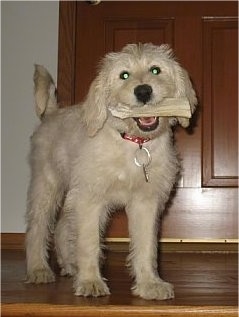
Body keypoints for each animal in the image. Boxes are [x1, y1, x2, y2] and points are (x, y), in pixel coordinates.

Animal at [25, 42, 198, 298]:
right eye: (123, 75)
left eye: (155, 70)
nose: (143, 91)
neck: (134, 144)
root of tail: (52, 113)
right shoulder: (90, 199)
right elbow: (89, 243)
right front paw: (90, 282)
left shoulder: (145, 202)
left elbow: (146, 246)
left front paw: (150, 284)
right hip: (46, 187)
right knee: (37, 228)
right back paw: (38, 269)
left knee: (63, 226)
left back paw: (70, 264)